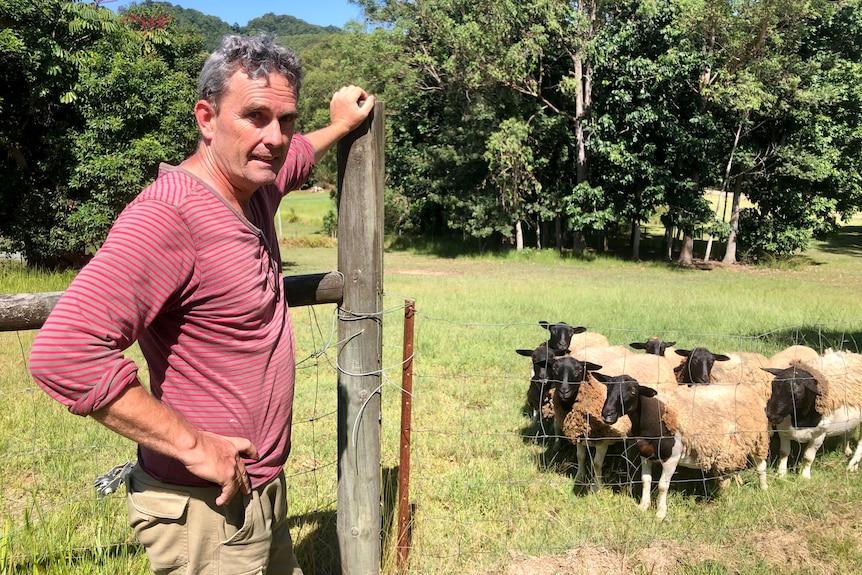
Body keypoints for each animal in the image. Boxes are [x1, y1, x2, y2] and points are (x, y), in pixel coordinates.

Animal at [600, 378, 768, 520]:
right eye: (608, 388)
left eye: (633, 392)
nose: (607, 414)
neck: (653, 418)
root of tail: (749, 390)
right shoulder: (645, 454)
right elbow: (645, 481)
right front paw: (643, 506)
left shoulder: (671, 458)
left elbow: (662, 486)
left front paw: (660, 513)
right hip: (728, 449)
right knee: (728, 472)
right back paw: (729, 493)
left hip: (757, 439)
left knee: (761, 466)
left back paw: (763, 489)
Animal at [768, 352, 862, 482]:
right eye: (772, 385)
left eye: (797, 393)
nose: (771, 415)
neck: (799, 419)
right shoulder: (783, 430)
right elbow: (784, 452)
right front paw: (781, 474)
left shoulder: (818, 435)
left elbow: (808, 457)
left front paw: (805, 477)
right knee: (848, 433)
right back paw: (847, 451)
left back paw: (853, 464)